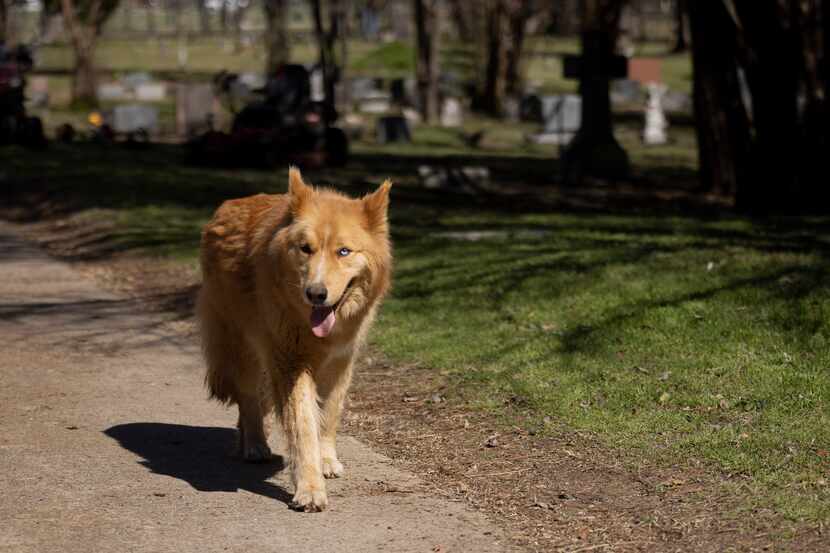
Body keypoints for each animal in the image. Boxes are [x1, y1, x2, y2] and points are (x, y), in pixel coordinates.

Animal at [198, 167, 394, 508]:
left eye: (343, 251)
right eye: (306, 248)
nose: (315, 293)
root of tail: (226, 206)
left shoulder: (340, 362)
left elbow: (328, 415)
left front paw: (326, 460)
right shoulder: (290, 363)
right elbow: (302, 426)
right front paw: (310, 487)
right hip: (245, 352)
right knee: (249, 399)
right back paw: (254, 445)